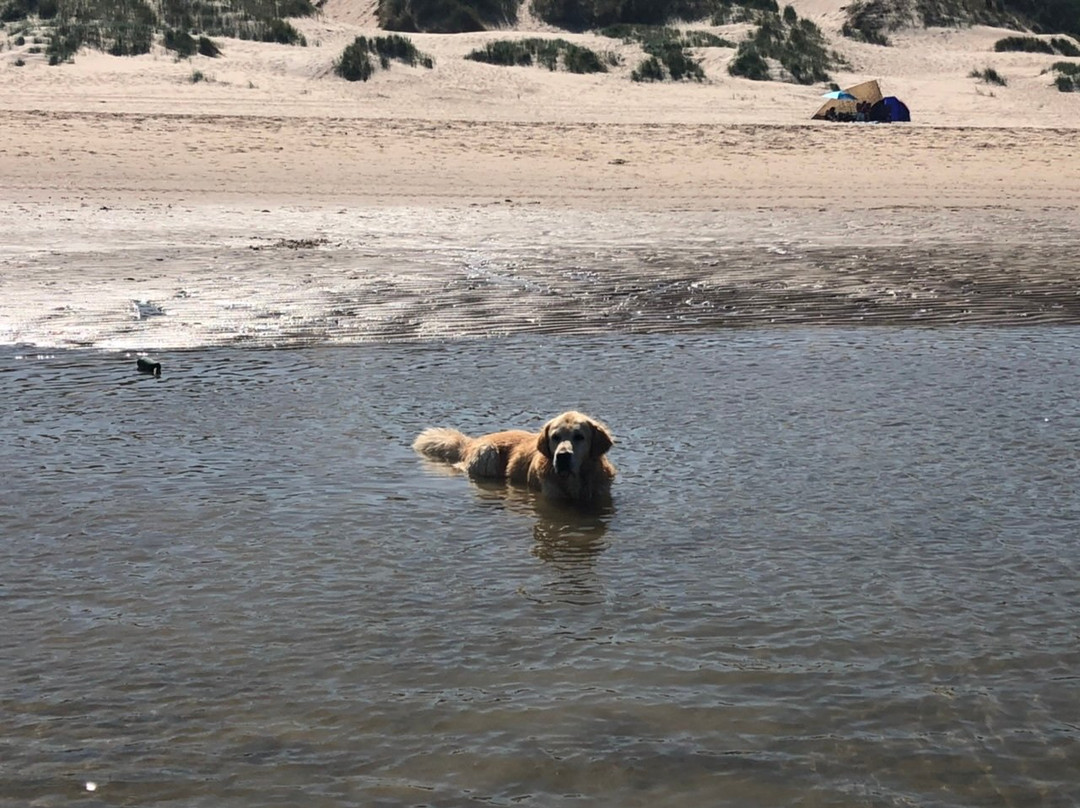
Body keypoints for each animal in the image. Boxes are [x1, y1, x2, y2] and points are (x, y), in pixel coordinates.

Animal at [412, 410, 617, 505]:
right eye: (555, 437)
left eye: (579, 437)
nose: (563, 456)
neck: (575, 481)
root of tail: (473, 441)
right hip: (488, 452)